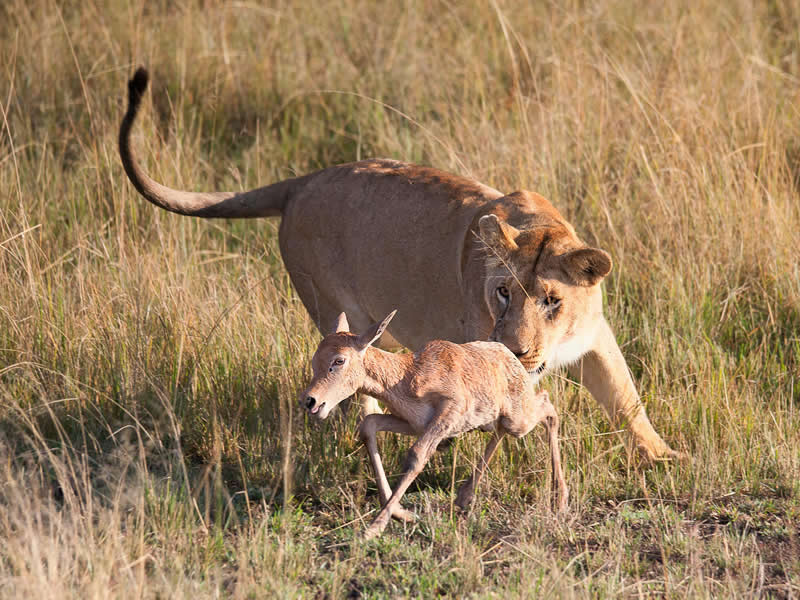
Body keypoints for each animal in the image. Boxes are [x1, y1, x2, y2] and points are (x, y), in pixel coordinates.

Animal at [119, 68, 678, 461]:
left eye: (551, 300)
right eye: (502, 292)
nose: (517, 351)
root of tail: (303, 181)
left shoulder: (597, 339)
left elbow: (627, 399)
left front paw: (665, 457)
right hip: (332, 307)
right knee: (347, 364)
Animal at [300, 310, 569, 539]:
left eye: (339, 360)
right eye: (315, 359)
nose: (310, 400)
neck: (408, 375)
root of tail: (508, 355)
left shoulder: (448, 412)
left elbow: (417, 455)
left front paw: (373, 529)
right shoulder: (413, 423)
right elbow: (368, 425)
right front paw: (404, 515)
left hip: (519, 419)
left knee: (548, 407)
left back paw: (560, 499)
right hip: (498, 420)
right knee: (503, 429)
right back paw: (464, 497)